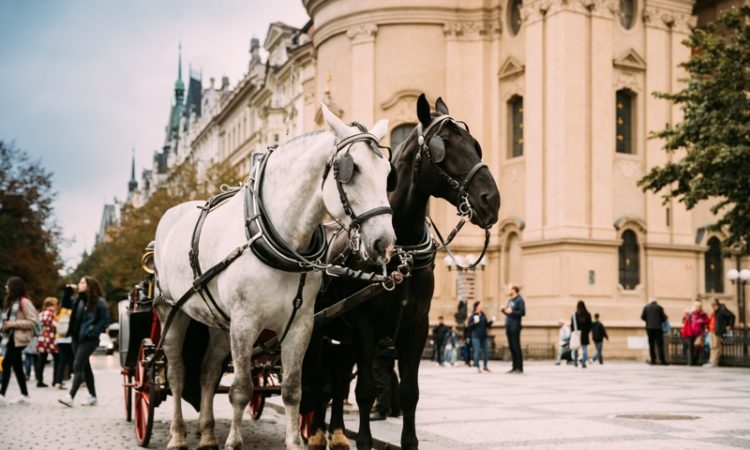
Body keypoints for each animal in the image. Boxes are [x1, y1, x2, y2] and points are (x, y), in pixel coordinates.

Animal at [155, 105, 396, 450]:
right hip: (171, 312)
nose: (384, 242)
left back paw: (207, 434)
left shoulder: (301, 325)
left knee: (207, 373)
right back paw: (177, 435)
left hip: (219, 321)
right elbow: (241, 389)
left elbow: (293, 389)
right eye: (352, 170)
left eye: (388, 172)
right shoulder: (245, 323)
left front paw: (295, 441)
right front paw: (235, 442)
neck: (279, 240)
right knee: (176, 373)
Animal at [302, 93, 502, 448]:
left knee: (336, 384)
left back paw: (336, 434)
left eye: (475, 145)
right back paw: (313, 435)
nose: (491, 200)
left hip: (341, 340)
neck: (402, 252)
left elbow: (409, 393)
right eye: (443, 147)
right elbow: (366, 392)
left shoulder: (416, 329)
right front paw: (363, 439)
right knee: (314, 383)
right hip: (315, 331)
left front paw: (408, 439)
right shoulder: (365, 328)